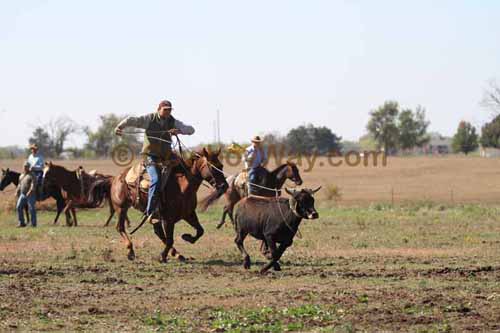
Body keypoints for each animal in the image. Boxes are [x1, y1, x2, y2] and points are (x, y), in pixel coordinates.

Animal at [90, 147, 229, 260]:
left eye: (221, 165)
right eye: (212, 167)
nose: (224, 186)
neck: (182, 187)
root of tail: (115, 178)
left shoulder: (188, 214)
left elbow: (200, 231)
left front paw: (187, 237)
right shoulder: (168, 219)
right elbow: (170, 239)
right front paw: (162, 256)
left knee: (158, 232)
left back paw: (177, 254)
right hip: (121, 208)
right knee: (120, 227)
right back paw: (130, 251)